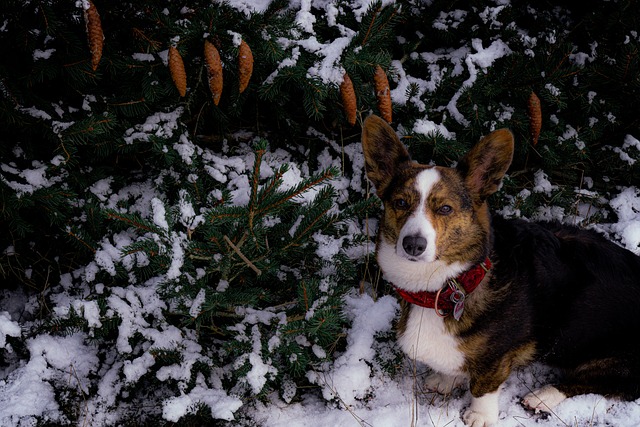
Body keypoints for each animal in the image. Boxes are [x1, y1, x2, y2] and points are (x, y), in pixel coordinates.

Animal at [360, 115, 640, 426]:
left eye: (445, 208)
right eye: (400, 203)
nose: (413, 245)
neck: (450, 284)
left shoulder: (498, 356)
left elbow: (484, 384)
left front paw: (478, 416)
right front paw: (445, 379)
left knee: (602, 384)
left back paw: (543, 396)